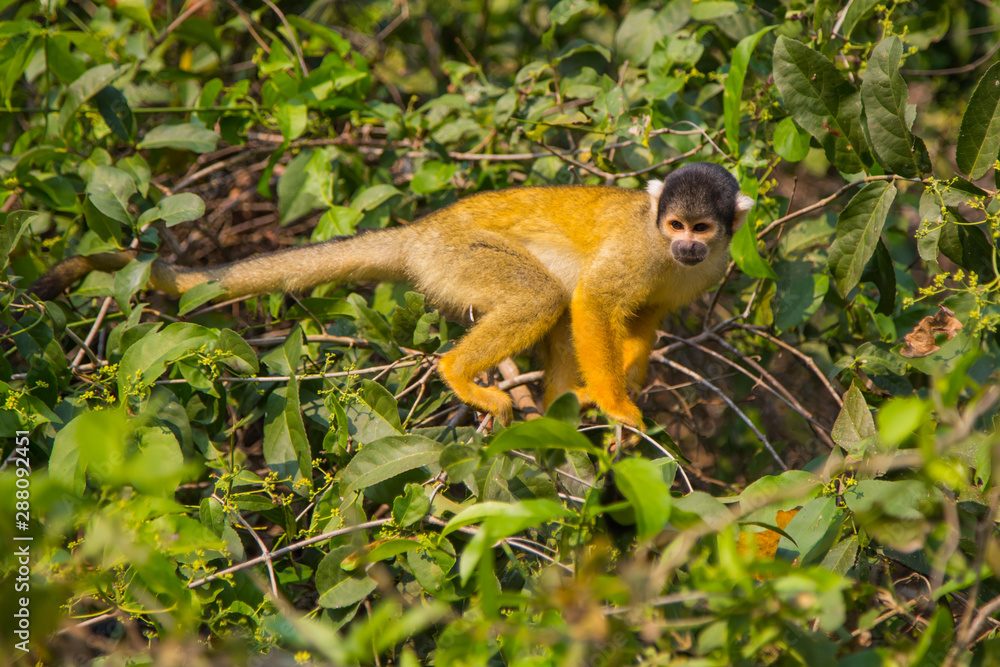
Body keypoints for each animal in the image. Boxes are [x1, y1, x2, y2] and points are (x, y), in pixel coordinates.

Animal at [31, 162, 753, 429]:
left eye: (702, 230)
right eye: (674, 226)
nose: (686, 246)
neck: (662, 249)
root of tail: (419, 233)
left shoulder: (701, 270)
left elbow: (644, 315)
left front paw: (633, 376)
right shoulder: (639, 249)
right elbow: (594, 303)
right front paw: (617, 402)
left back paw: (551, 407)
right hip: (459, 256)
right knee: (546, 297)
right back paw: (461, 373)